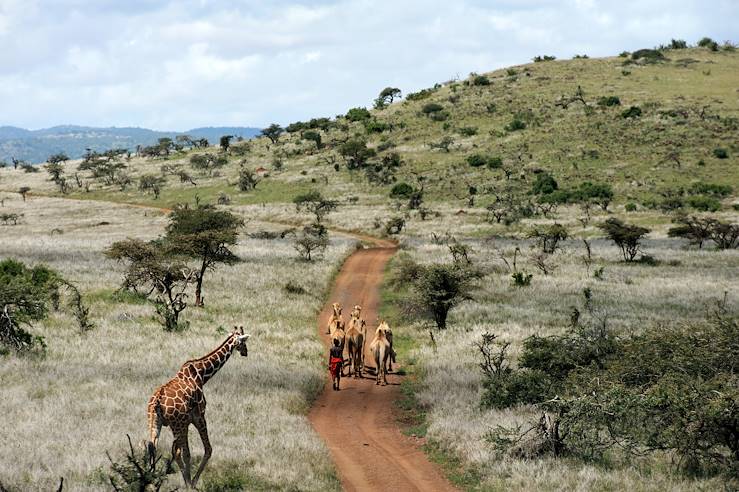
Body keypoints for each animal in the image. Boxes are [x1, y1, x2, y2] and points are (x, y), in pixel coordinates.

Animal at [147, 326, 251, 488]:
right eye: (243, 341)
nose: (245, 352)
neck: (202, 374)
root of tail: (156, 401)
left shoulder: (187, 421)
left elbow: (187, 452)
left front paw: (189, 481)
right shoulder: (199, 416)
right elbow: (207, 449)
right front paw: (192, 483)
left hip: (155, 422)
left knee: (152, 446)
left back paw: (150, 480)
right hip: (177, 425)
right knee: (176, 451)